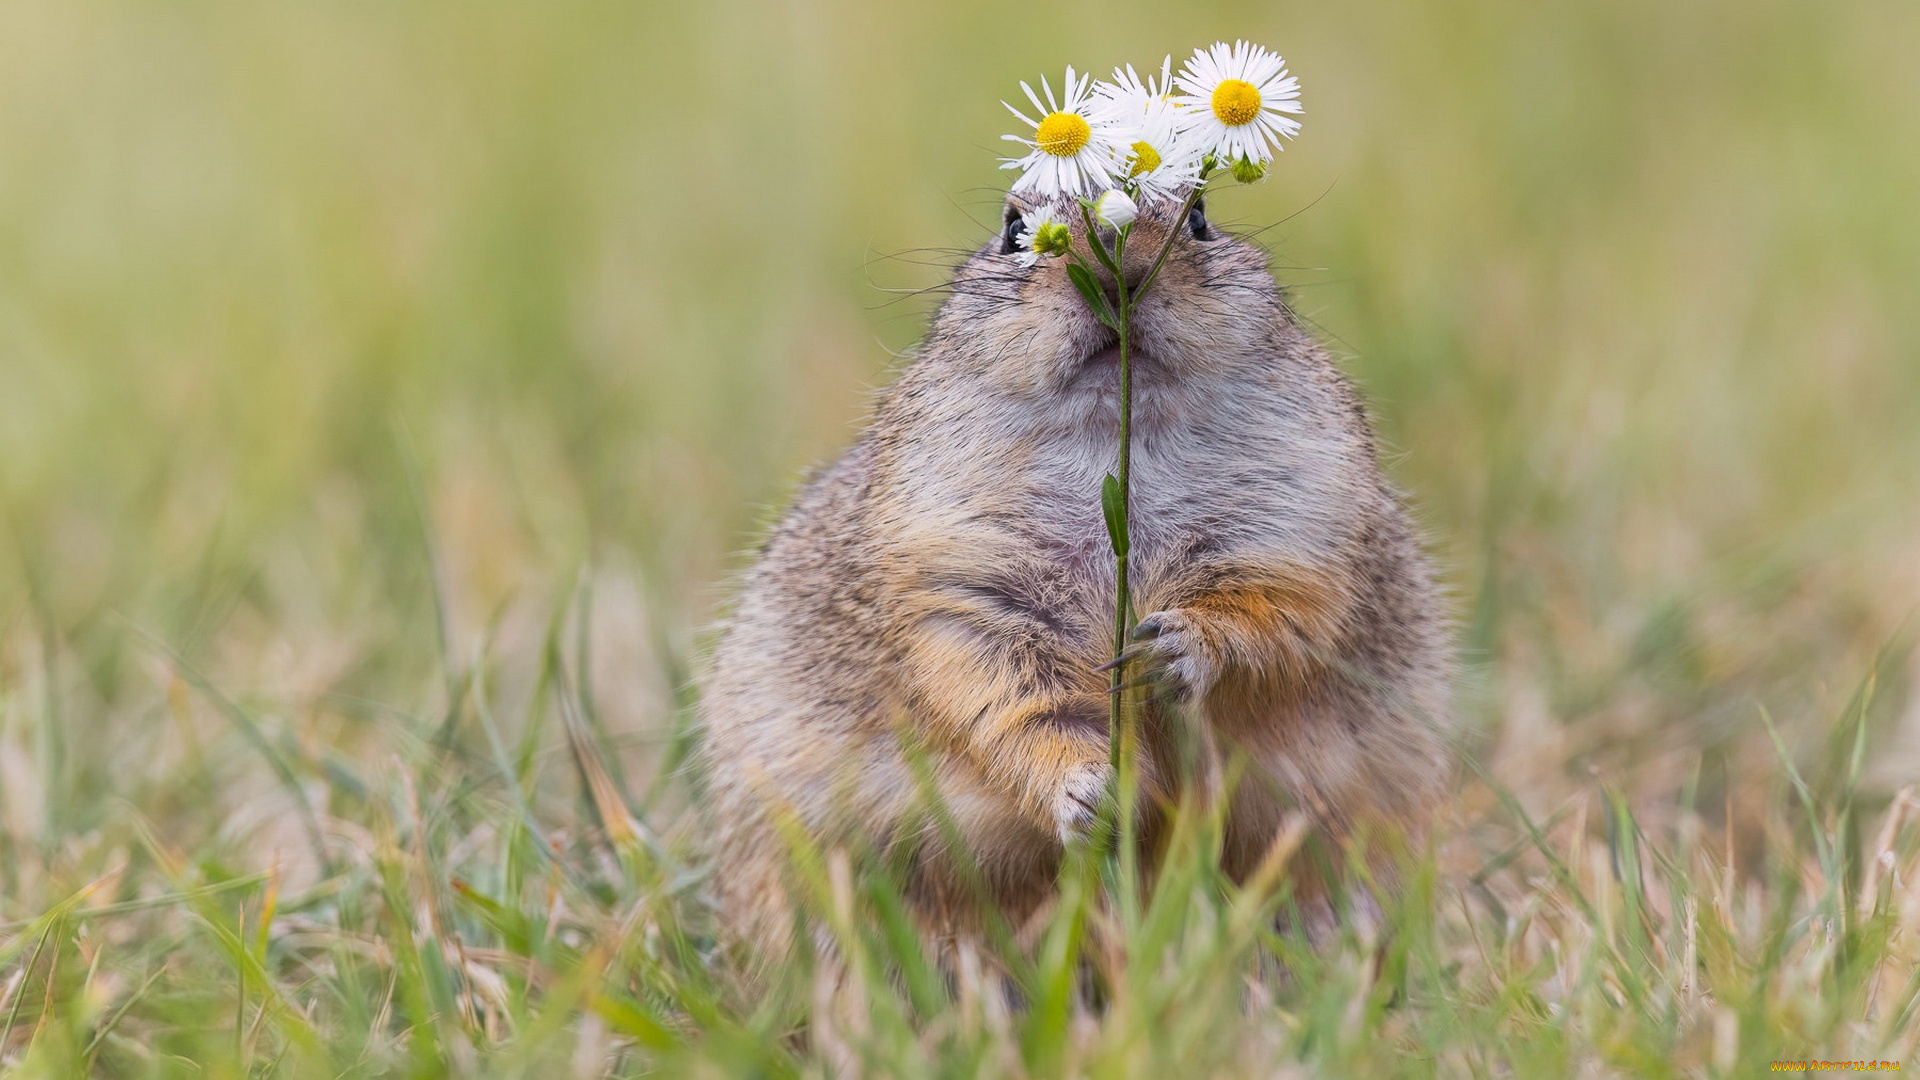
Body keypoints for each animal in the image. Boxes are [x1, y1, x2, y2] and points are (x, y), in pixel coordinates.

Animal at [698, 191, 1443, 949]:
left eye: (1200, 216)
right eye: (1013, 230)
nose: (1116, 267)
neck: (1119, 451)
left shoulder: (1301, 522)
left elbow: (1286, 620)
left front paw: (1179, 649)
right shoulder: (953, 574)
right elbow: (1000, 696)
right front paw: (1088, 793)